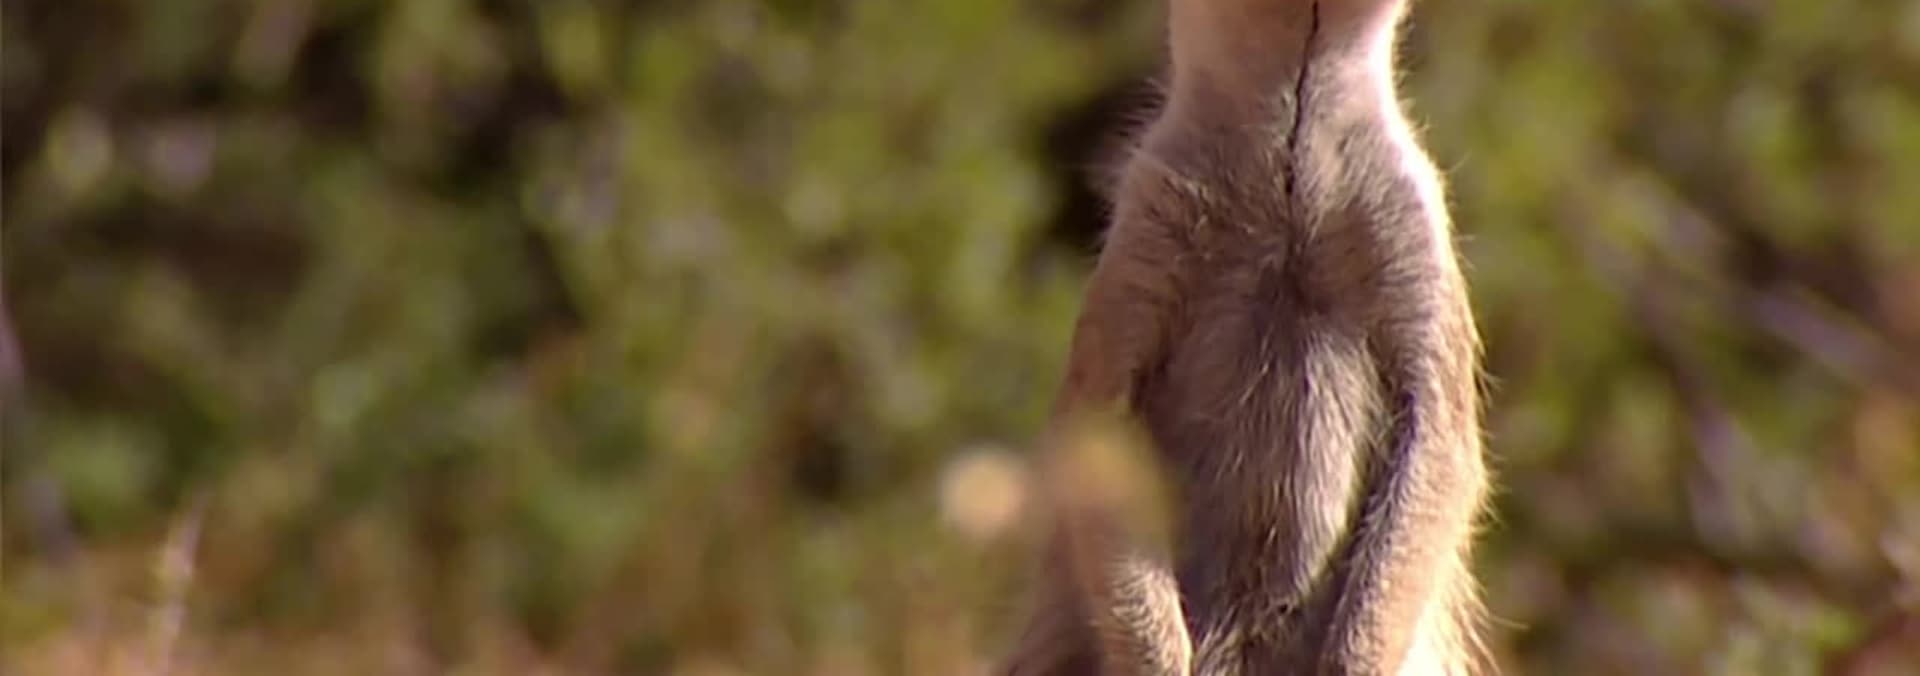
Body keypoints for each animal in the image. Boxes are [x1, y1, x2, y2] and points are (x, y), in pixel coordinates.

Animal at [1002, 1, 1491, 675]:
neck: (1290, 162)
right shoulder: (1144, 226)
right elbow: (1096, 428)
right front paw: (1158, 655)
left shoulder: (1414, 231)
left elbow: (1442, 439)